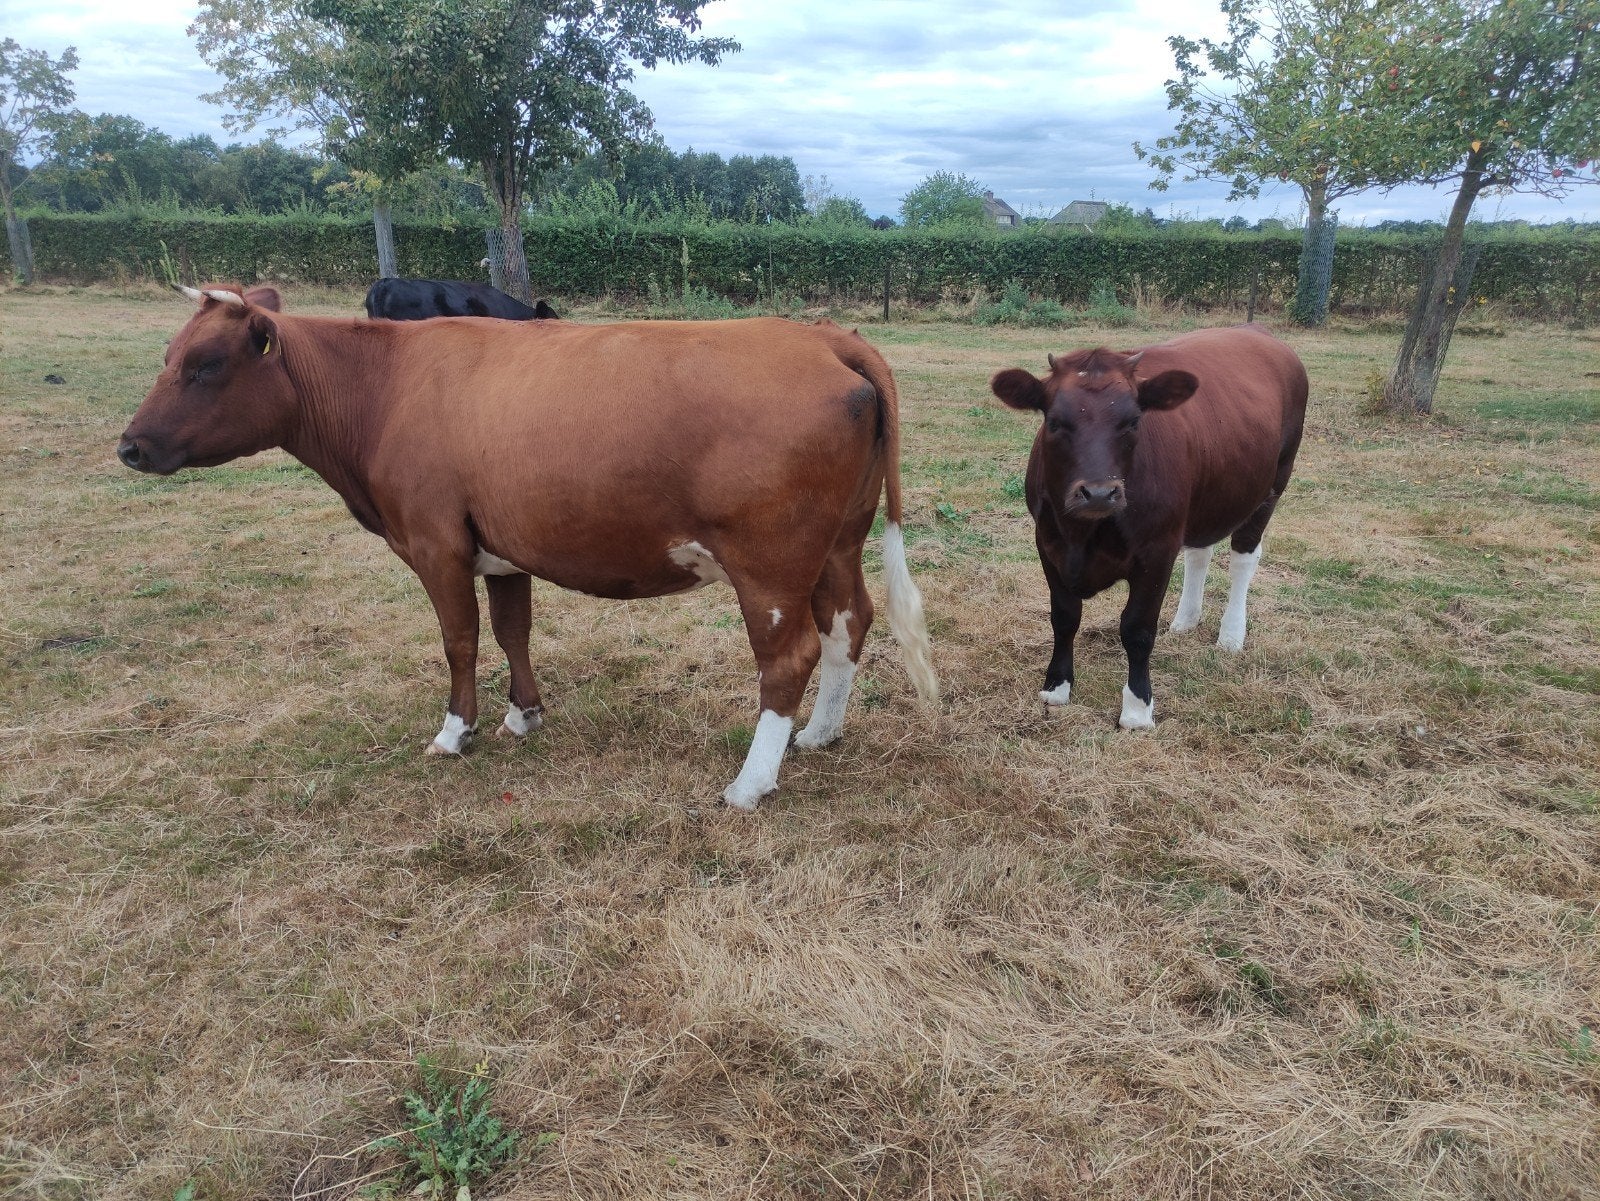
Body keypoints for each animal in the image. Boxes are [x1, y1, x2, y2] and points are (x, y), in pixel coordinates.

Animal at [117, 285, 938, 810]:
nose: (129, 446)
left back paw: (749, 783)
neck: (384, 386)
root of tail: (823, 335)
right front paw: (524, 715)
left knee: (788, 655)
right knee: (848, 623)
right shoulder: (500, 547)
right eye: (168, 355)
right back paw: (820, 735)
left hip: (769, 562)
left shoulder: (435, 541)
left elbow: (459, 639)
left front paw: (456, 731)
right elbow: (514, 628)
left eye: (204, 366)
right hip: (836, 544)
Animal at [990, 324, 1307, 730]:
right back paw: (1186, 619)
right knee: (1200, 553)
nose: (1098, 493)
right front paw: (1057, 686)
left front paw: (1138, 708)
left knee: (1243, 557)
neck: (1084, 536)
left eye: (1133, 421)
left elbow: (1137, 629)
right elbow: (1064, 617)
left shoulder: (1157, 551)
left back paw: (1231, 634)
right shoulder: (1047, 542)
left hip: (1274, 483)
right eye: (1055, 421)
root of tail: (1254, 329)